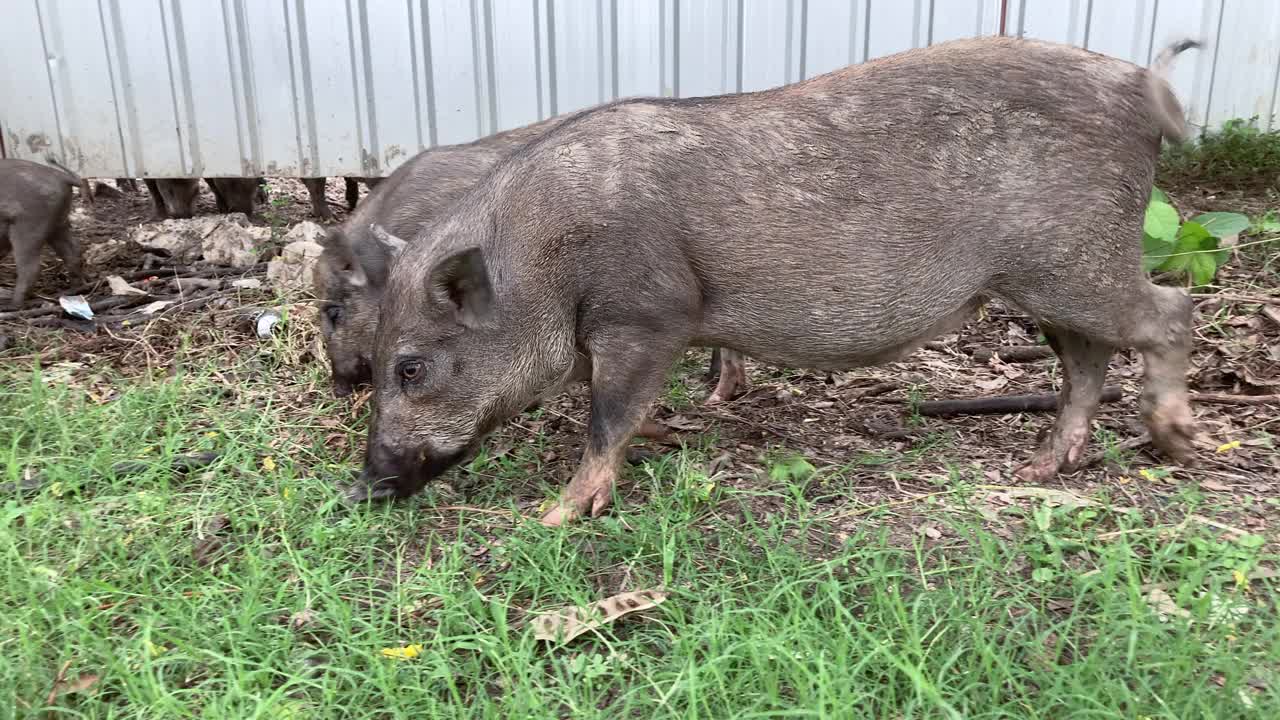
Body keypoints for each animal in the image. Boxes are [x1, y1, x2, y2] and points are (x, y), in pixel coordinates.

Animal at [1, 156, 87, 304]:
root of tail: (61, 177)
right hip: (59, 223)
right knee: (73, 251)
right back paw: (71, 290)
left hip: (29, 227)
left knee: (30, 267)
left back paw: (12, 304)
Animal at [358, 37, 1198, 520]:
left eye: (411, 366)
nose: (364, 486)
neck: (543, 263)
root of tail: (1144, 89)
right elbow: (621, 408)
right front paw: (670, 433)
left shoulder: (647, 315)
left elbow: (607, 415)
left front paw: (558, 516)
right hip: (1046, 280)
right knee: (1086, 358)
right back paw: (1045, 464)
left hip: (1078, 262)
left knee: (1172, 309)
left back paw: (1175, 442)